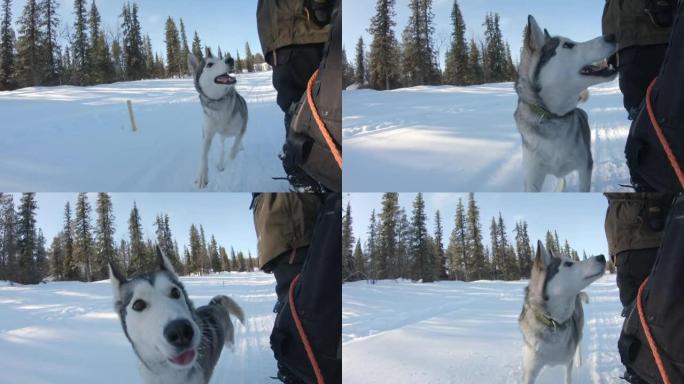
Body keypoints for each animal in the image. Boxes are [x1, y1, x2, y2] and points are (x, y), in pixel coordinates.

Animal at [108, 248, 244, 382]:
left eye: (175, 292)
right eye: (138, 305)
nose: (180, 330)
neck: (170, 371)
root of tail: (214, 304)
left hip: (229, 341)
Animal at [188, 51, 247, 189]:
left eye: (221, 58)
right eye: (209, 64)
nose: (230, 59)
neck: (218, 102)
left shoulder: (242, 128)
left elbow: (234, 147)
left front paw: (233, 157)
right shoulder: (207, 134)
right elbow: (203, 154)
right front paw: (202, 176)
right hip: (222, 137)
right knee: (222, 149)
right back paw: (220, 163)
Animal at [520, 242, 608, 382]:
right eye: (568, 264)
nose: (602, 257)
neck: (552, 322)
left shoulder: (568, 364)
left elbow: (568, 377)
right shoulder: (530, 371)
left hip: (579, 329)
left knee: (578, 343)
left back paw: (579, 361)